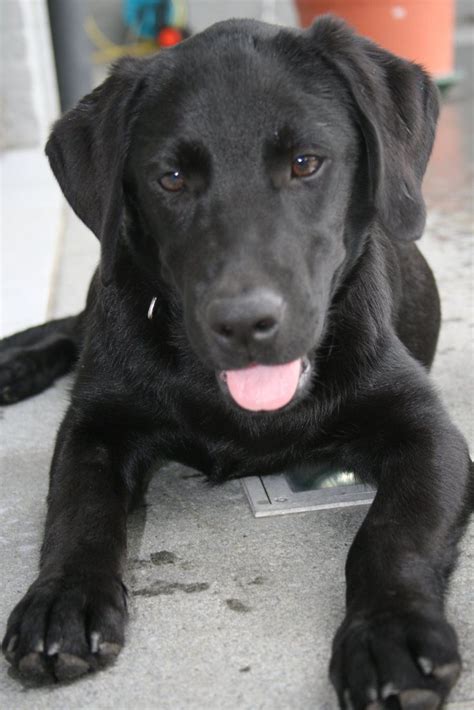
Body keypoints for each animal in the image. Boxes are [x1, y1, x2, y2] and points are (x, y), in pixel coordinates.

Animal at [1, 15, 472, 710]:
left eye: (305, 163)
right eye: (171, 178)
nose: (245, 323)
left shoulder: (427, 429)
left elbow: (392, 534)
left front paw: (390, 631)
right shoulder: (95, 422)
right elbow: (77, 510)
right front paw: (61, 600)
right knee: (72, 326)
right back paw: (13, 363)